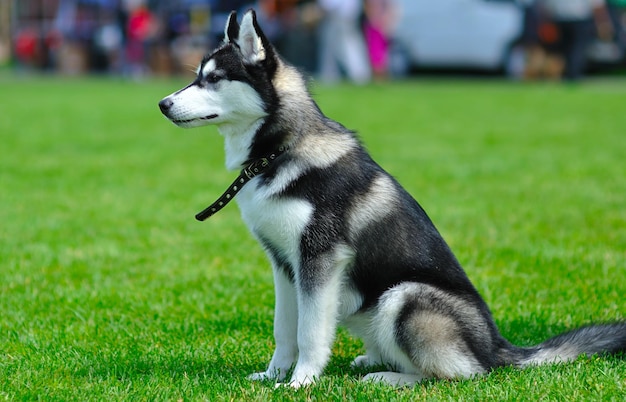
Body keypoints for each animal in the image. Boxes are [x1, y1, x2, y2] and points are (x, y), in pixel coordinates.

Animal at [157, 8, 624, 386]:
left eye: (213, 79)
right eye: (196, 76)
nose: (162, 104)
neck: (277, 151)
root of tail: (499, 347)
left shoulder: (319, 260)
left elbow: (309, 331)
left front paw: (301, 382)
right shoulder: (284, 264)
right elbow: (284, 329)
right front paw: (273, 375)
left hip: (404, 297)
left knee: (463, 375)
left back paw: (389, 378)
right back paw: (373, 362)